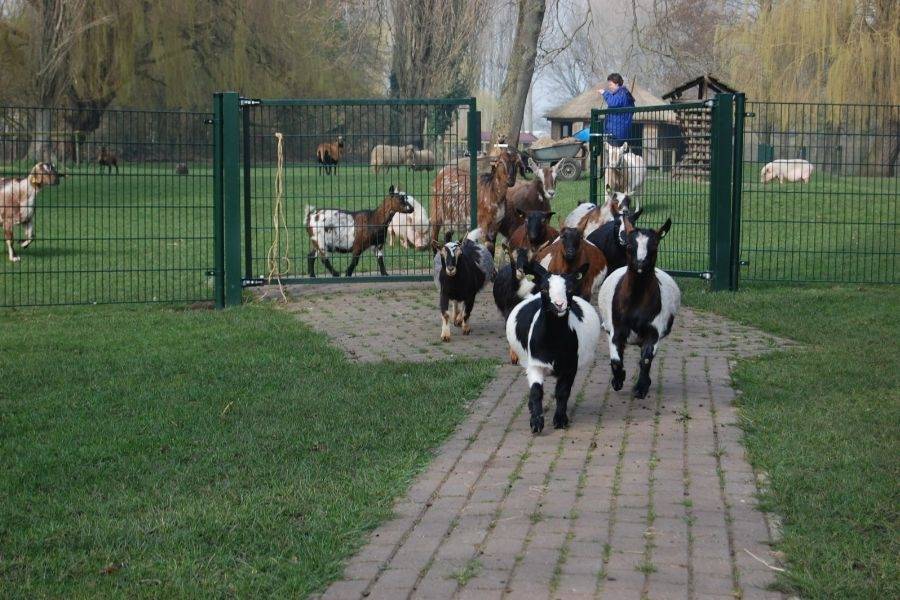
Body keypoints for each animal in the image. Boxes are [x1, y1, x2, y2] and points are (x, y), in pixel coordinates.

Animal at [502, 262, 600, 432]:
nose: (559, 305)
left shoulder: (570, 367)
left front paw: (560, 420)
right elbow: (536, 392)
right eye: (544, 289)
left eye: (570, 289)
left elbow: (562, 392)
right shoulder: (535, 364)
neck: (553, 341)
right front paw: (536, 422)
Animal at [596, 217, 684, 398]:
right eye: (630, 246)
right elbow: (616, 360)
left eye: (655, 246)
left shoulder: (654, 330)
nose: (640, 264)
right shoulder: (616, 329)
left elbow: (646, 359)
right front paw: (618, 380)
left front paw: (641, 387)